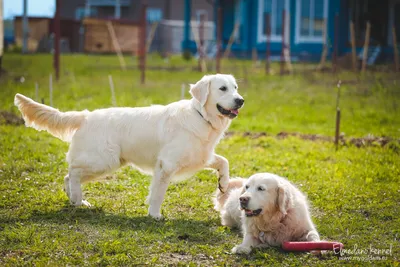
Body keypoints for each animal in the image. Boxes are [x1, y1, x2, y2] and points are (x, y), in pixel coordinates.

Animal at [14, 74, 244, 220]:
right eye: (222, 88)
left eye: (235, 88)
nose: (241, 100)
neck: (201, 117)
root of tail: (86, 115)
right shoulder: (166, 165)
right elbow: (158, 194)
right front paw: (154, 215)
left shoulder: (200, 156)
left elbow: (223, 161)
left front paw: (224, 184)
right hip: (104, 161)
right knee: (73, 171)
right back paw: (78, 199)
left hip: (108, 163)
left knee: (68, 176)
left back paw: (74, 199)